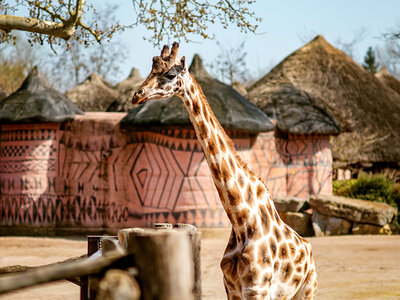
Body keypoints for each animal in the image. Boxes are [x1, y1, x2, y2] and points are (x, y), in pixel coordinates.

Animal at [133, 42, 318, 300]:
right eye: (151, 68)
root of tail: (307, 247)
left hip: (307, 290)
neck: (241, 220)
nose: (137, 95)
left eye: (170, 74)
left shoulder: (256, 289)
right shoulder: (232, 289)